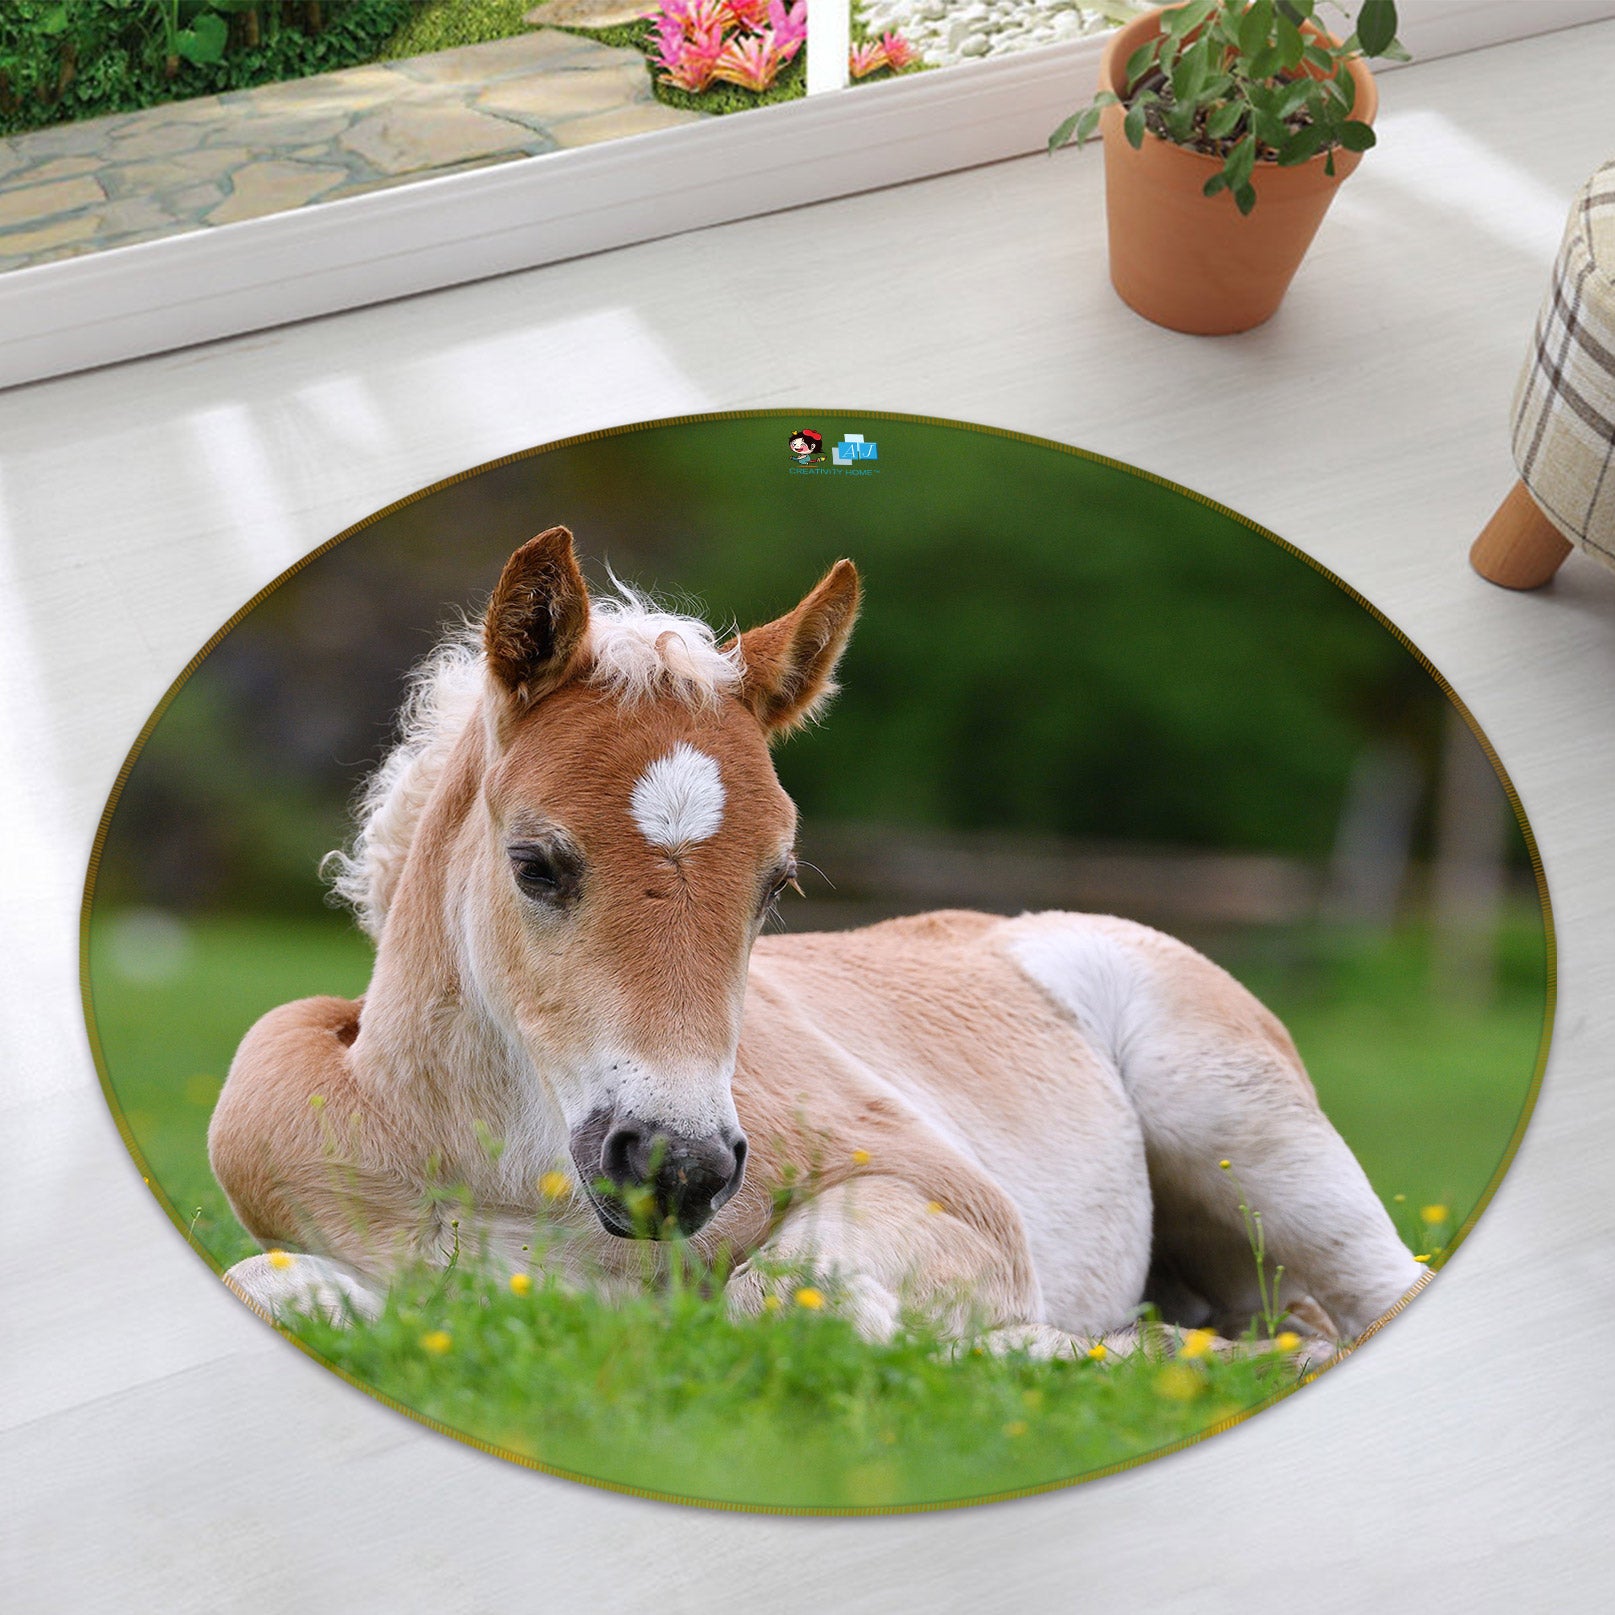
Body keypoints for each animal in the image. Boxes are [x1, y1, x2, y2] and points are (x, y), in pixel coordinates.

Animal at [211, 527, 1426, 1354]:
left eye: (776, 885)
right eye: (536, 863)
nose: (677, 1167)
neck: (507, 1168)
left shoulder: (950, 1193)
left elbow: (791, 1302)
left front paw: (1052, 1346)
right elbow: (272, 1286)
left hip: (1248, 1133)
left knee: (1382, 1292)